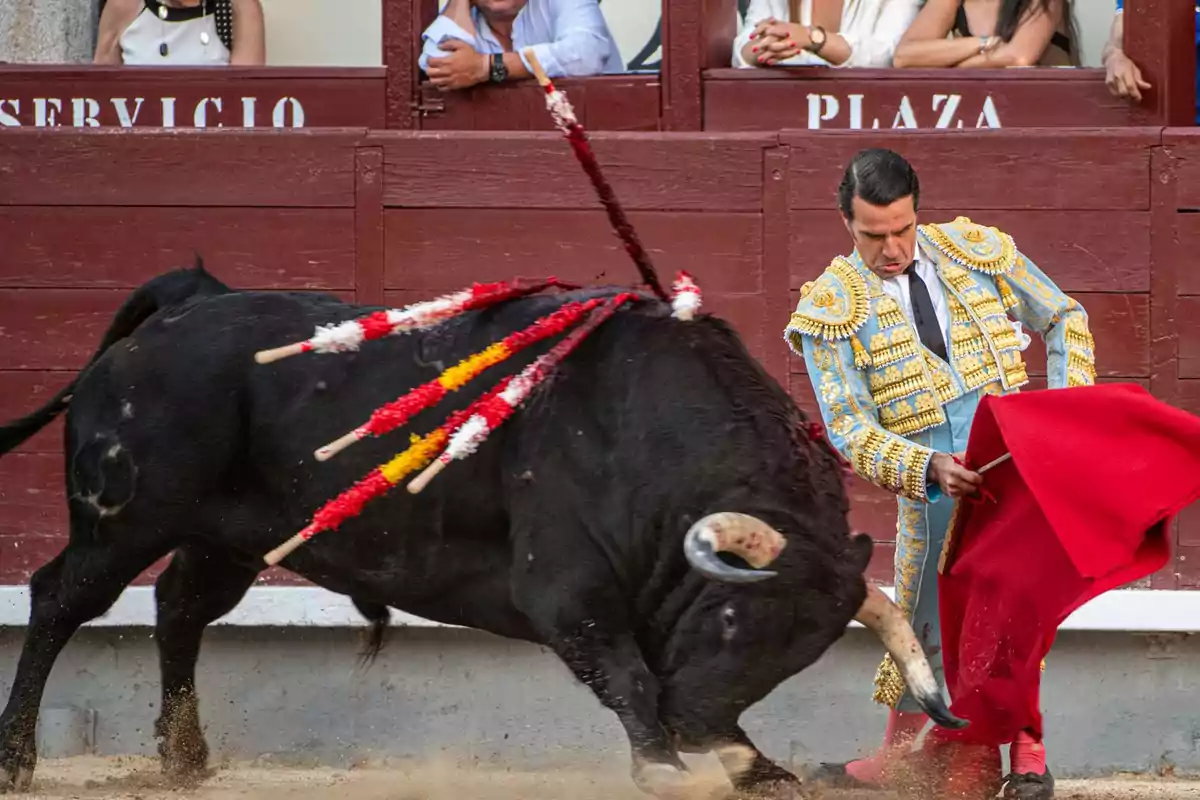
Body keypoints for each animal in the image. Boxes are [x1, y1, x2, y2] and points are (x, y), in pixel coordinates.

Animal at [0, 267, 960, 796]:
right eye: (730, 616)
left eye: (796, 653)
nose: (698, 723)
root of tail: (181, 309)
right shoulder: (565, 590)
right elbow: (628, 678)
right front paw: (665, 767)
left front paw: (755, 767)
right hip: (125, 521)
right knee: (59, 601)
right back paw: (19, 760)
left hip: (228, 538)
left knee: (178, 608)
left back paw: (186, 758)